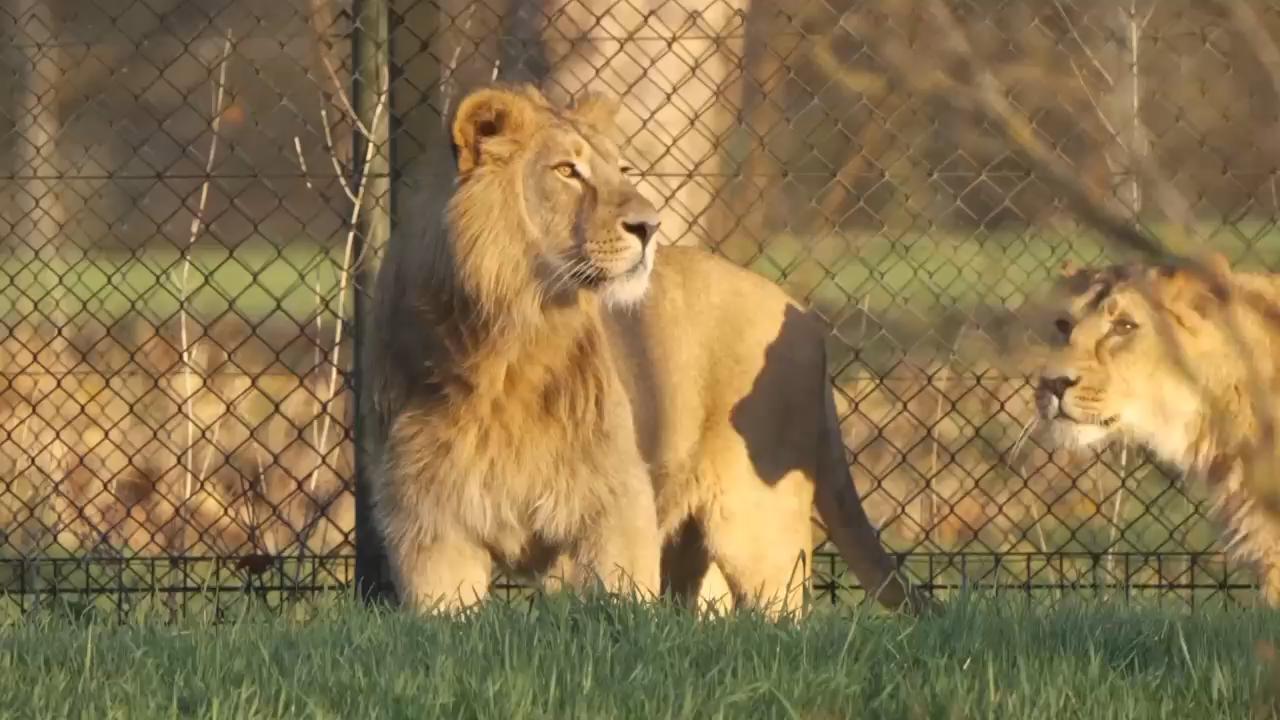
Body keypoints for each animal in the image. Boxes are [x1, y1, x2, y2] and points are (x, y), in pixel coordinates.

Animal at [366, 83, 933, 617]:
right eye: (567, 170)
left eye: (621, 170)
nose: (649, 226)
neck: (506, 342)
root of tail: (805, 313)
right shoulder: (431, 527)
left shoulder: (614, 504)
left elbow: (618, 604)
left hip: (760, 525)